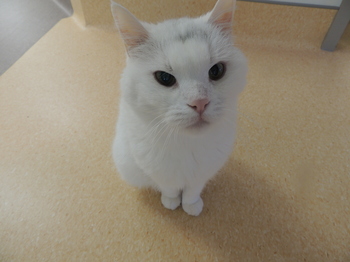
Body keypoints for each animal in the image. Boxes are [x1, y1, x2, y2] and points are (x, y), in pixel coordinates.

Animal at [111, 0, 246, 216]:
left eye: (217, 70)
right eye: (165, 78)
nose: (199, 102)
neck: (187, 144)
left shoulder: (204, 171)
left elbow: (193, 190)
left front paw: (191, 205)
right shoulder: (157, 170)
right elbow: (170, 187)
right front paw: (171, 201)